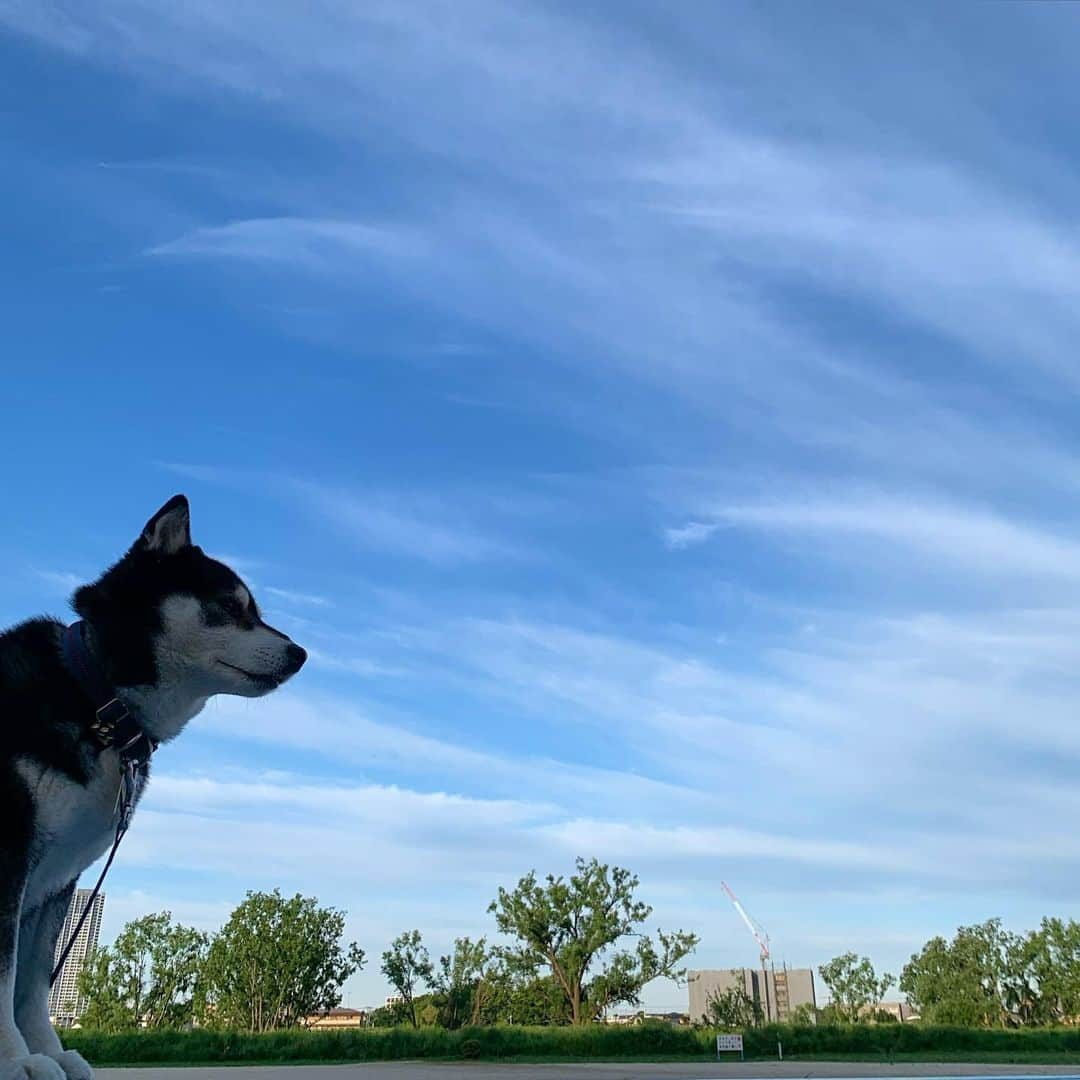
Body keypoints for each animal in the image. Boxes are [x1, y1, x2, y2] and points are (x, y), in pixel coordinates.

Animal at [1, 496, 304, 1080]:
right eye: (231, 607)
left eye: (254, 610)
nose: (301, 654)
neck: (96, 698)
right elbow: (5, 977)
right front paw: (16, 1059)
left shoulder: (58, 884)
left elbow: (31, 982)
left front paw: (48, 1050)